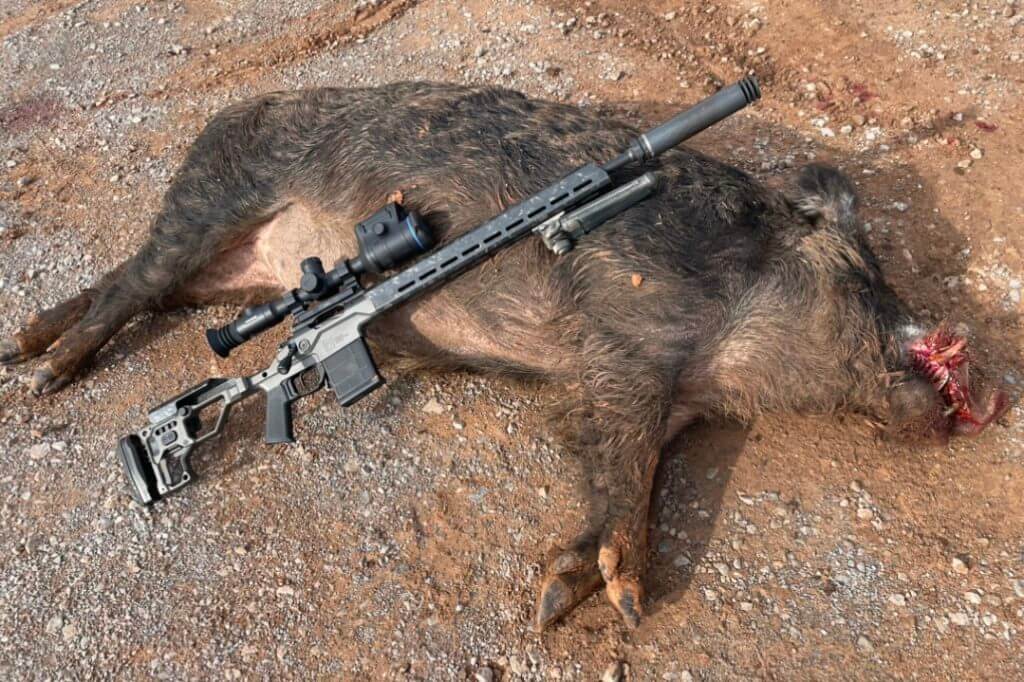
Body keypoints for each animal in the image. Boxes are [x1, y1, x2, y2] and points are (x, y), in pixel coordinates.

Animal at [0, 82, 1008, 630]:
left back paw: (24, 343)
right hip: (211, 197)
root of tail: (221, 119)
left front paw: (561, 599)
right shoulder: (625, 335)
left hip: (218, 272)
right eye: (867, 273)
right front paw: (615, 604)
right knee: (130, 286)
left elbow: (619, 464)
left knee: (127, 283)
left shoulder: (643, 390)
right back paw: (44, 378)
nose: (993, 385)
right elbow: (630, 468)